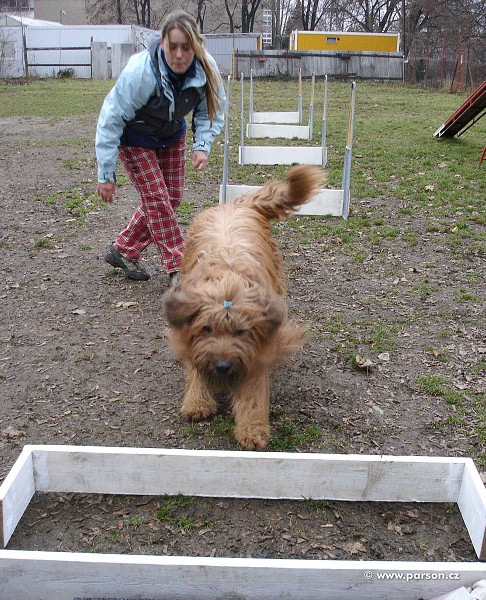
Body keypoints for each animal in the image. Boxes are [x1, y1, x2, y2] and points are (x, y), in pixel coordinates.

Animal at [164, 166, 326, 448]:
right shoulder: (192, 336)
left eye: (241, 332)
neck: (228, 282)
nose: (222, 366)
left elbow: (253, 389)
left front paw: (252, 429)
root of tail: (238, 204)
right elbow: (196, 365)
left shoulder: (257, 348)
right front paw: (197, 401)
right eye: (207, 329)